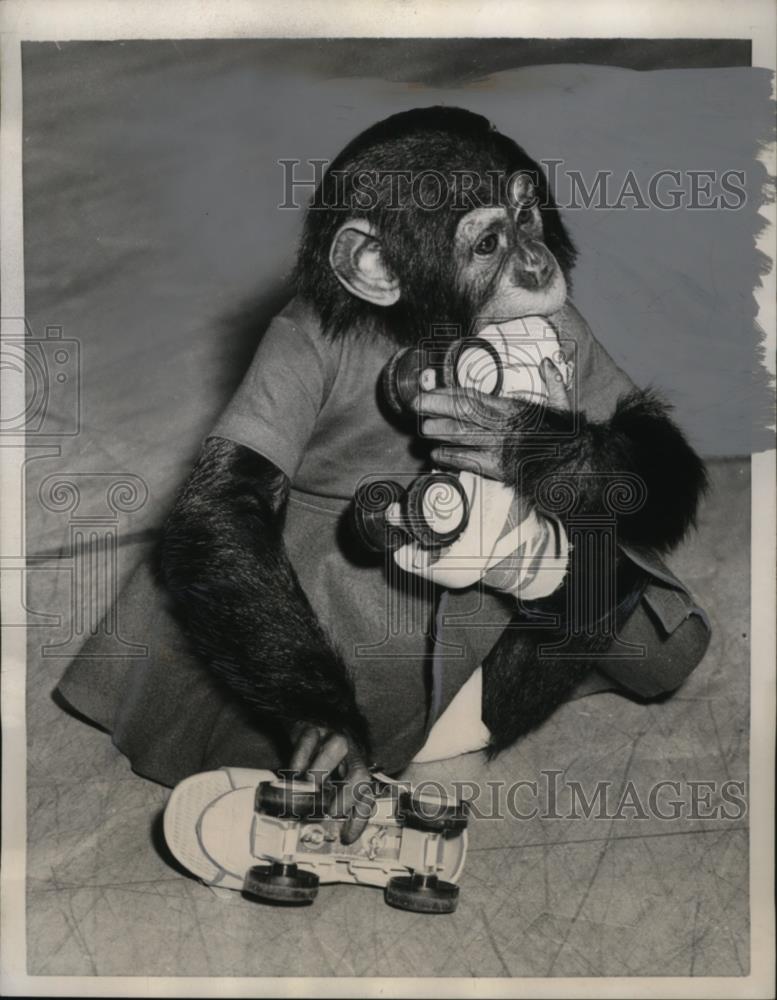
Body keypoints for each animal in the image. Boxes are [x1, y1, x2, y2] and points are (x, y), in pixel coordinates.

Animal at [56, 107, 708, 844]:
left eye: (528, 217)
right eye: (488, 243)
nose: (536, 263)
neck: (413, 329)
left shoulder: (569, 327)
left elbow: (658, 459)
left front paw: (524, 438)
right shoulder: (295, 340)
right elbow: (228, 502)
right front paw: (333, 737)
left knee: (609, 549)